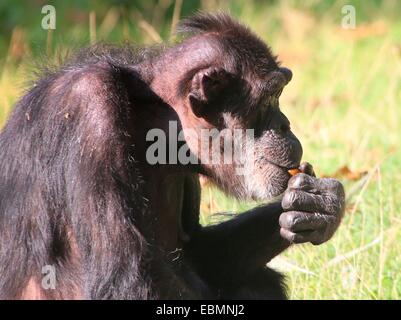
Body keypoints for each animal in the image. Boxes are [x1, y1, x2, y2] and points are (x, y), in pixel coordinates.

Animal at [0, 11, 344, 298]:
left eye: (280, 93)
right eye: (271, 96)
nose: (285, 123)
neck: (157, 118)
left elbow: (201, 252)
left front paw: (318, 204)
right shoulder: (89, 109)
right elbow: (125, 279)